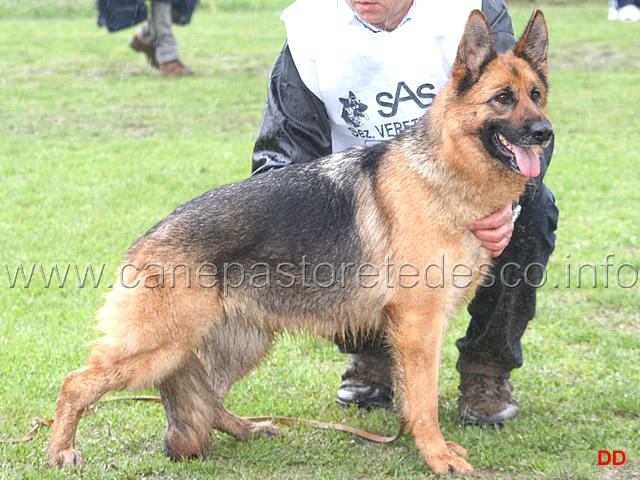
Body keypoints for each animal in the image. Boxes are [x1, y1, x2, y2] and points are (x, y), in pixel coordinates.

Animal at [48, 9, 552, 474]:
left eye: (536, 96)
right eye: (502, 99)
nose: (545, 134)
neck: (445, 170)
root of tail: (145, 241)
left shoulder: (416, 328)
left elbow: (413, 398)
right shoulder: (418, 326)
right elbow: (424, 401)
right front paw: (437, 456)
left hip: (241, 342)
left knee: (206, 396)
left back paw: (247, 428)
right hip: (160, 347)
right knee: (76, 382)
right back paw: (61, 451)